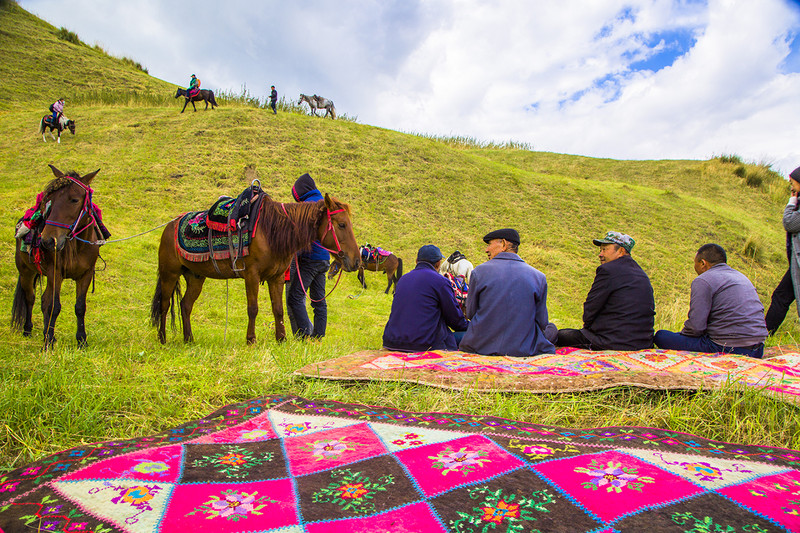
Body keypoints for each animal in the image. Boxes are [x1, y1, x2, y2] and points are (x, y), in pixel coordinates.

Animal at [11, 166, 103, 350]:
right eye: (49, 200)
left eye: (74, 200)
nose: (48, 240)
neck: (77, 246)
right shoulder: (56, 273)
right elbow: (53, 307)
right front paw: (47, 343)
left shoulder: (86, 275)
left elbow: (79, 307)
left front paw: (82, 340)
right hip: (26, 273)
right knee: (30, 298)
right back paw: (28, 330)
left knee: (43, 300)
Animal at [152, 193, 358, 342]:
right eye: (342, 224)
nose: (356, 260)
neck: (271, 231)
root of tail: (169, 226)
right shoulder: (251, 275)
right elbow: (253, 308)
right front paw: (251, 339)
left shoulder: (277, 278)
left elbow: (278, 309)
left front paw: (281, 339)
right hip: (169, 274)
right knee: (165, 304)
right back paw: (162, 339)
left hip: (195, 277)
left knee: (185, 305)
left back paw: (189, 339)